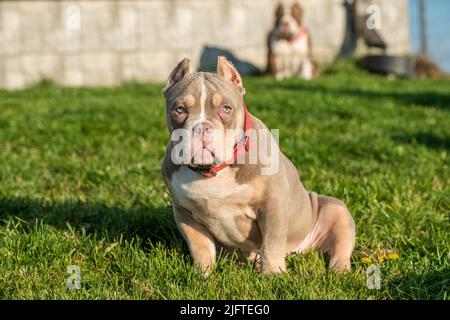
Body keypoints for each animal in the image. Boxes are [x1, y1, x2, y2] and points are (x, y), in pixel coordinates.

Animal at [162, 55, 356, 276]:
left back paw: (339, 270)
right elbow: (200, 246)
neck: (213, 170)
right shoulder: (185, 213)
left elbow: (272, 242)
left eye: (226, 109)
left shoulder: (272, 205)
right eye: (179, 110)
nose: (202, 127)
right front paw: (202, 274)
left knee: (340, 245)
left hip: (336, 209)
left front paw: (272, 274)